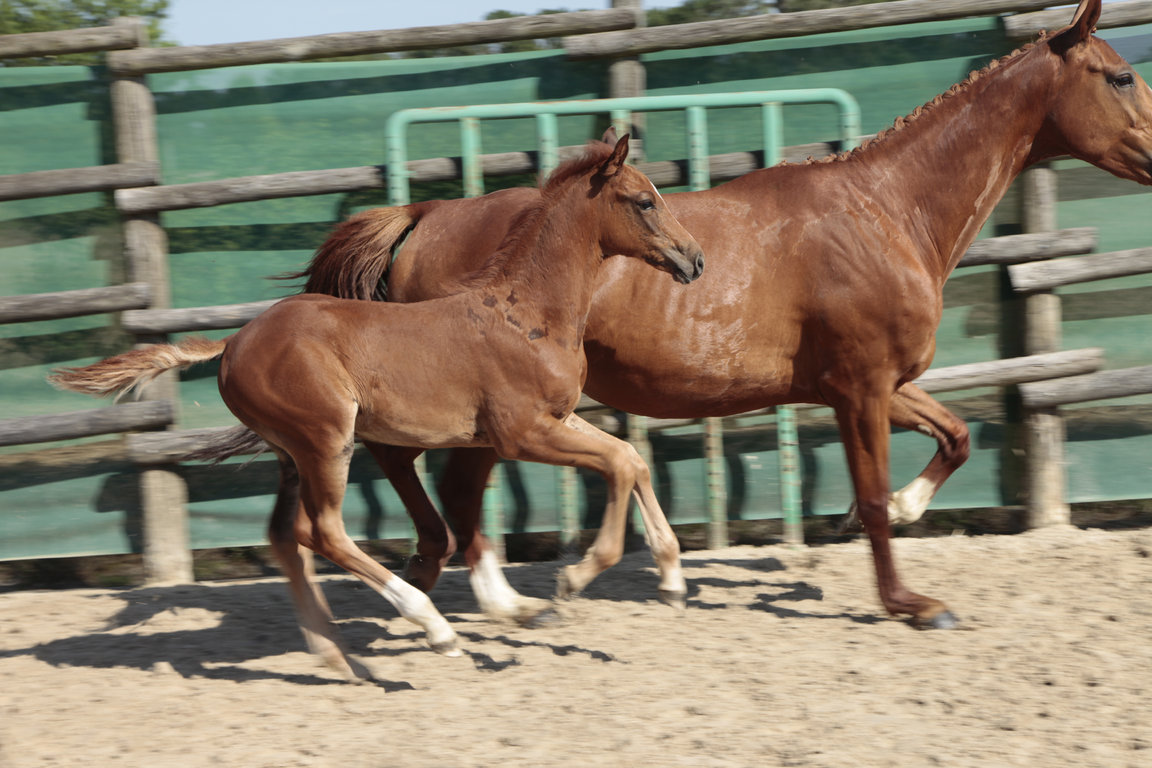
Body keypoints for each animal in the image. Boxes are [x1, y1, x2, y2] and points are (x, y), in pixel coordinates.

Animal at [51, 136, 700, 677]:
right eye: (644, 201)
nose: (694, 259)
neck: (524, 314)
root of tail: (233, 343)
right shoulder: (523, 433)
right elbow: (618, 465)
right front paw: (573, 581)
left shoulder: (558, 419)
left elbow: (629, 459)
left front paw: (670, 577)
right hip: (325, 439)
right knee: (324, 532)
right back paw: (431, 627)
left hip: (293, 452)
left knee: (285, 535)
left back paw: (337, 655)